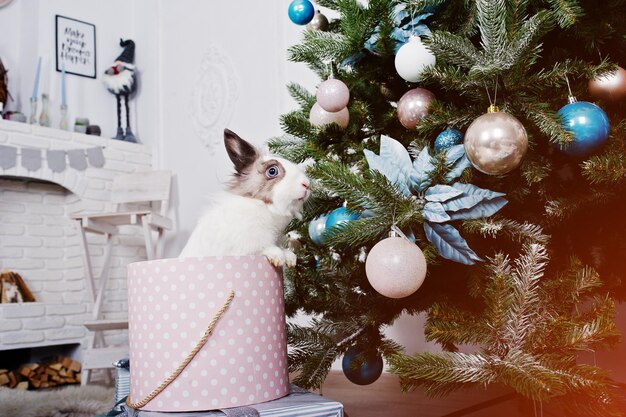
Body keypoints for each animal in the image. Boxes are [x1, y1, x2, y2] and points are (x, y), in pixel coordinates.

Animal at [178, 128, 310, 266]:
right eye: (272, 171)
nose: (307, 184)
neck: (262, 205)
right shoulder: (244, 248)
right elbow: (263, 248)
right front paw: (278, 256)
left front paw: (291, 258)